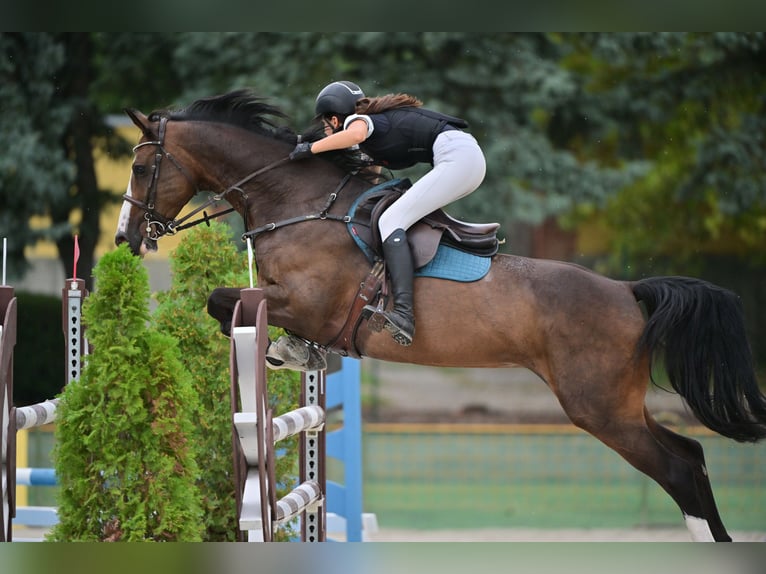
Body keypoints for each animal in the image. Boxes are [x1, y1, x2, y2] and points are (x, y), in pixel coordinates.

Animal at [115, 89, 766, 542]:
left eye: (143, 168)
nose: (124, 238)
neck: (299, 203)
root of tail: (629, 291)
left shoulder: (306, 300)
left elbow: (226, 302)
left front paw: (279, 349)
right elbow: (232, 306)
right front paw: (293, 352)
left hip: (599, 407)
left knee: (677, 470)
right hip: (619, 405)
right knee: (692, 456)